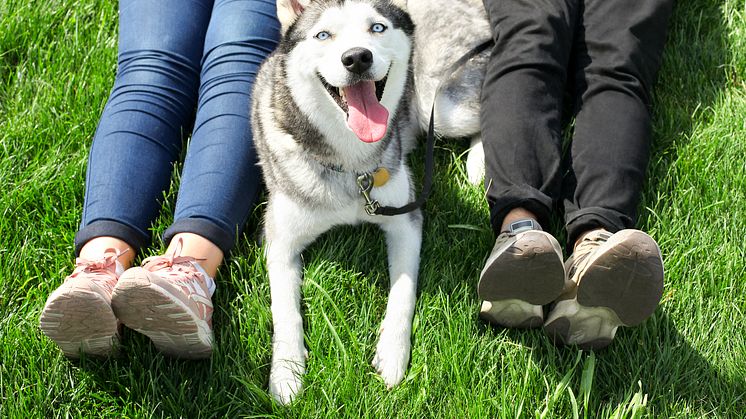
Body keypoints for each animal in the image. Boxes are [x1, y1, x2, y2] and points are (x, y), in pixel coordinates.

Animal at [253, 0, 422, 406]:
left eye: (377, 28)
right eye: (323, 35)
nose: (357, 57)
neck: (352, 168)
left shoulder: (405, 217)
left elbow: (404, 290)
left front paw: (392, 353)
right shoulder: (280, 241)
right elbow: (285, 310)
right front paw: (286, 372)